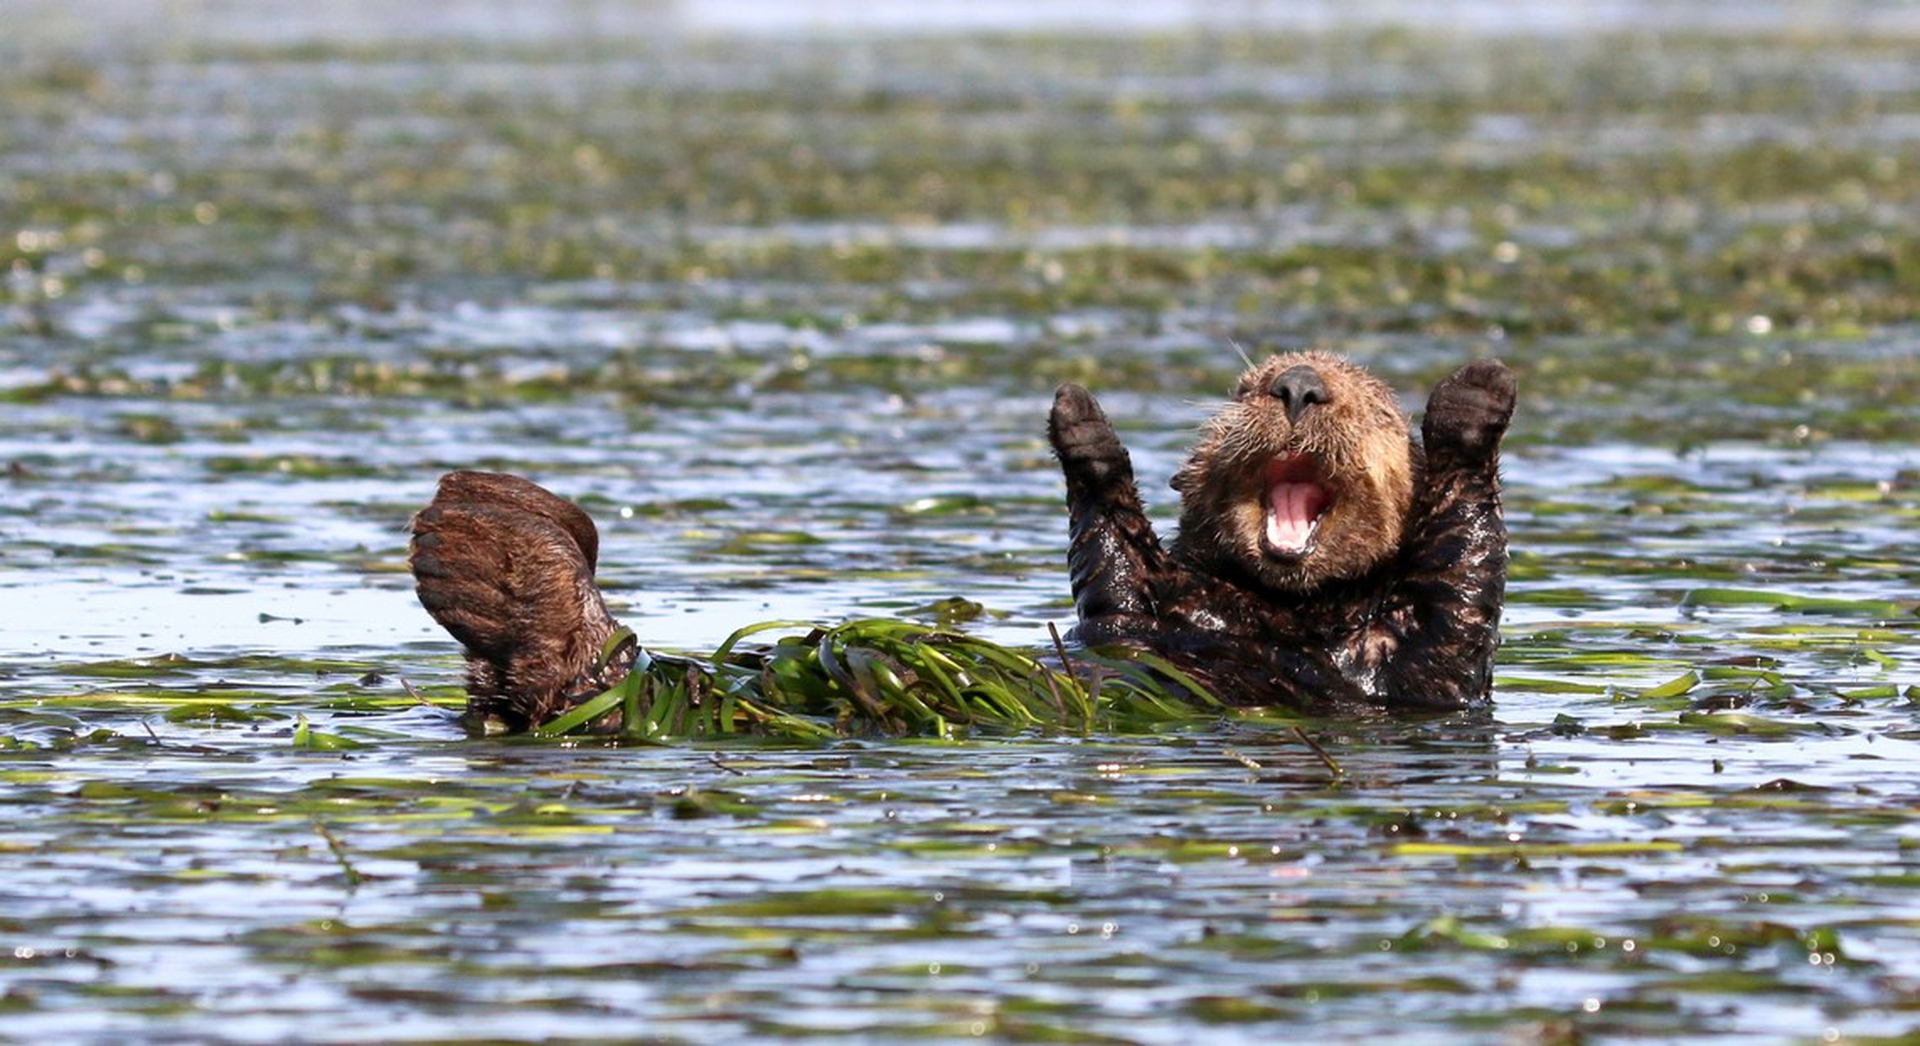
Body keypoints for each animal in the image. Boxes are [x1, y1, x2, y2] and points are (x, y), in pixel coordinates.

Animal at [1048, 352, 1514, 711]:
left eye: (1376, 409)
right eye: (1245, 389)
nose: (1299, 385)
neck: (1287, 608)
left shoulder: (1418, 659)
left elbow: (1461, 581)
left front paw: (1477, 391)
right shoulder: (1147, 599)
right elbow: (1115, 566)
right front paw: (1080, 418)